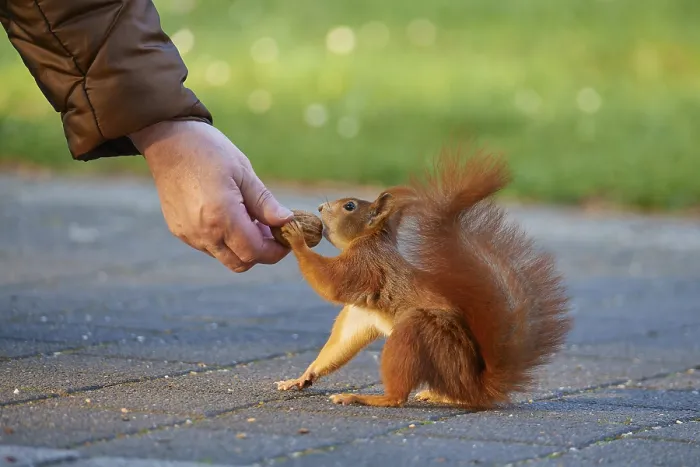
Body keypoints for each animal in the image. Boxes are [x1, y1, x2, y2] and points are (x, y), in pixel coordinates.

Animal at [275, 149, 572, 409]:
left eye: (349, 206)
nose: (319, 207)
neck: (368, 239)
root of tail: (474, 384)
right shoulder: (362, 311)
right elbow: (343, 341)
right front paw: (302, 377)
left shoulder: (366, 265)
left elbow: (331, 281)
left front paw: (296, 238)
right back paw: (437, 395)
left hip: (420, 332)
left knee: (398, 396)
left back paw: (366, 398)